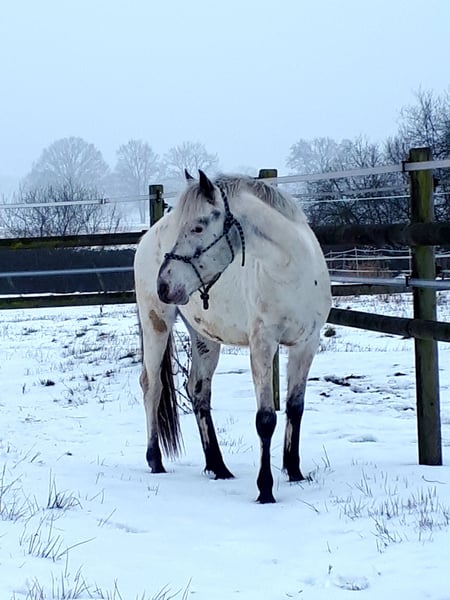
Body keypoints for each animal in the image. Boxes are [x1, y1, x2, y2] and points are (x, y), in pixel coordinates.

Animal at [134, 170, 331, 503]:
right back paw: (155, 460)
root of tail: (146, 238)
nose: (164, 283)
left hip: (204, 337)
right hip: (156, 324)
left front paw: (294, 472)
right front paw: (265, 489)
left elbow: (295, 407)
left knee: (198, 391)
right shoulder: (262, 344)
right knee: (152, 386)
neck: (291, 271)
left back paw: (218, 466)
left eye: (197, 226)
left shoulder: (307, 344)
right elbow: (265, 419)